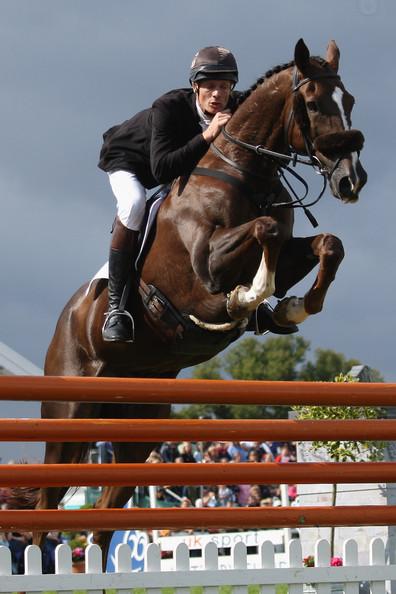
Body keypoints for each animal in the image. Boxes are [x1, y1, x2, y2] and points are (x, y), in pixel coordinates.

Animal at [34, 39, 368, 560]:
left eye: (348, 100)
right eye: (313, 104)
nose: (352, 181)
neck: (242, 170)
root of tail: (63, 325)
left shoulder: (292, 244)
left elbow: (327, 244)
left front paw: (289, 307)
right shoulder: (206, 270)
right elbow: (264, 234)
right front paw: (248, 296)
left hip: (136, 430)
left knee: (101, 525)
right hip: (67, 418)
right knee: (42, 514)